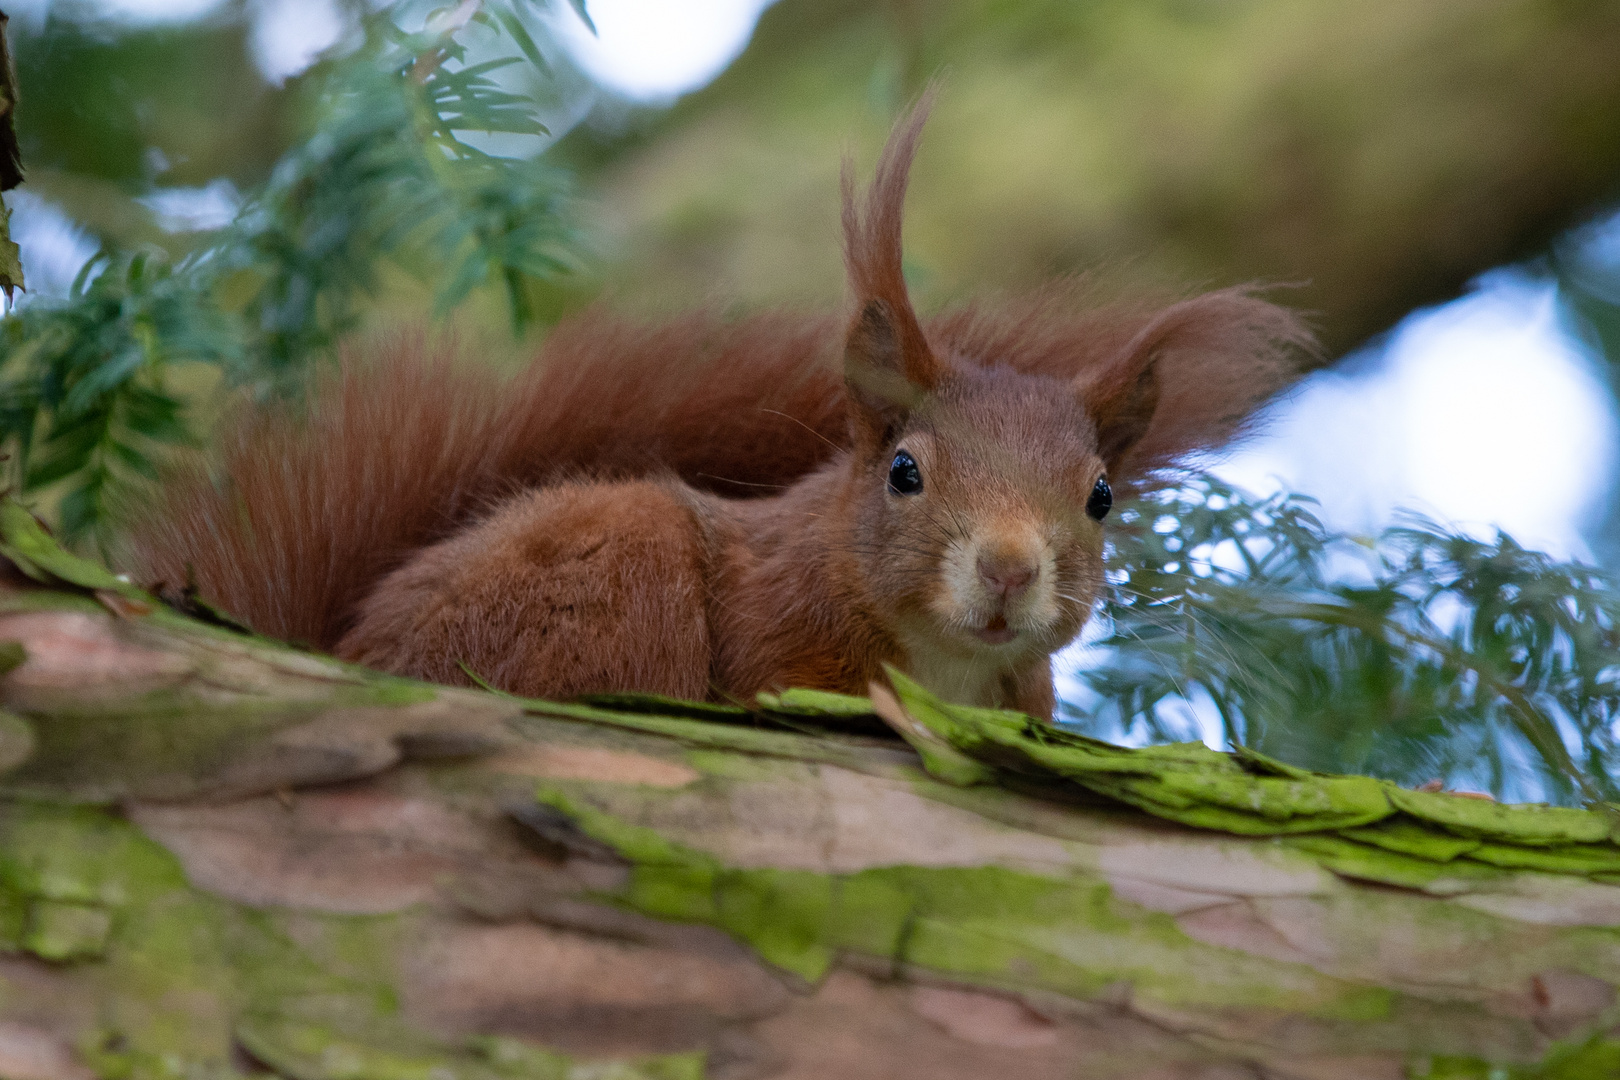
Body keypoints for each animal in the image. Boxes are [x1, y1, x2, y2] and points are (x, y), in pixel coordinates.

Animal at [126, 103, 1315, 718]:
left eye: (1103, 498)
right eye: (904, 471)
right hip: (623, 568)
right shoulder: (771, 639)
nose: (1012, 569)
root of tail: (345, 651)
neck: (939, 660)